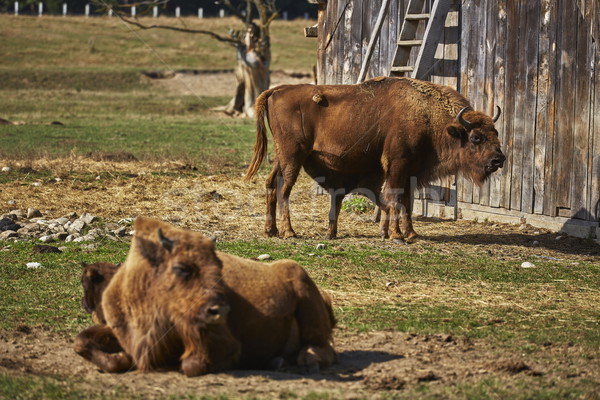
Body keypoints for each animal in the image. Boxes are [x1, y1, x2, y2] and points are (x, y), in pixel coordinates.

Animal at [74, 216, 338, 376]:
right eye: (181, 269)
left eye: (218, 268)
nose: (219, 311)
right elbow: (81, 342)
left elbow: (190, 364)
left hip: (304, 293)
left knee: (323, 347)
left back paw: (305, 361)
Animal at [246, 77, 504, 242]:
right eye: (476, 137)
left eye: (496, 133)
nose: (498, 160)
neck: (427, 116)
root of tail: (276, 91)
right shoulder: (397, 165)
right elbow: (394, 198)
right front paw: (396, 235)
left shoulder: (410, 171)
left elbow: (406, 201)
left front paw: (411, 234)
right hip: (293, 156)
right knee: (284, 189)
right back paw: (289, 232)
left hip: (281, 157)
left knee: (270, 184)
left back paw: (270, 230)